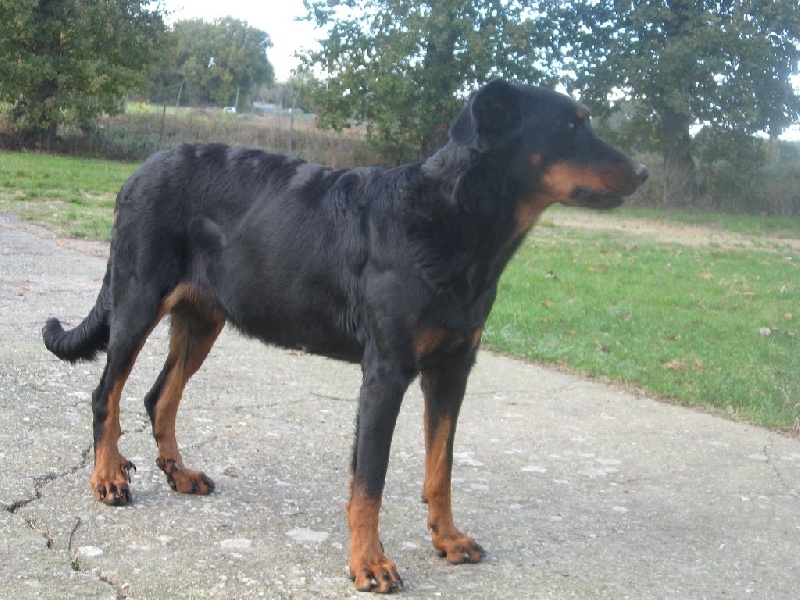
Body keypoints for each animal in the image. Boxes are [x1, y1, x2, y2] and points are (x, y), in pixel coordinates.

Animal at [42, 78, 644, 592]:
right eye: (570, 126)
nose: (641, 172)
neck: (456, 222)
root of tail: (134, 176)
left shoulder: (452, 367)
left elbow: (442, 465)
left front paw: (447, 538)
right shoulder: (386, 373)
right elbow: (369, 482)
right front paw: (369, 563)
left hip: (201, 318)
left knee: (158, 395)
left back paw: (179, 473)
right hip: (138, 300)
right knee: (107, 393)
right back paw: (107, 478)